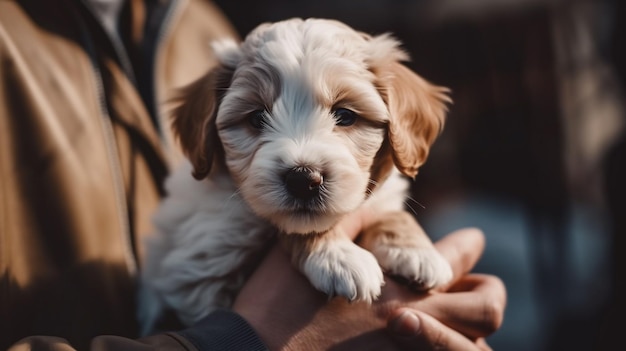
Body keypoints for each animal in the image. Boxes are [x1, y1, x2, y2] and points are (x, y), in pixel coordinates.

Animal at [139, 17, 450, 334]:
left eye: (345, 115)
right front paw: (339, 258)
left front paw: (415, 252)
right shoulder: (203, 261)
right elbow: (291, 227)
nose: (303, 179)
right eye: (256, 118)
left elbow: (390, 212)